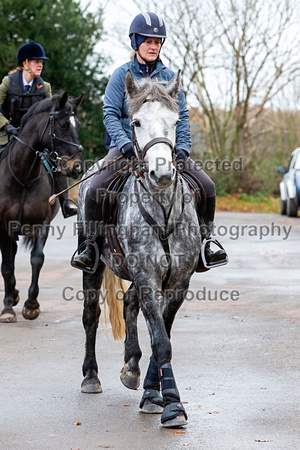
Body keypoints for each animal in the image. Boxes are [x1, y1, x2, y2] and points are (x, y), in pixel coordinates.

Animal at [0, 92, 83, 324]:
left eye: (78, 124)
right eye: (64, 125)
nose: (77, 167)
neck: (23, 178)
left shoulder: (42, 224)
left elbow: (37, 259)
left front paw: (31, 305)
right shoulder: (4, 226)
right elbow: (7, 265)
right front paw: (8, 308)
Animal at [76, 71, 200, 428]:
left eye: (175, 121)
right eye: (136, 122)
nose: (162, 173)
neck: (163, 210)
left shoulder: (177, 283)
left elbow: (163, 335)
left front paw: (153, 394)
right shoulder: (147, 277)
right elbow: (161, 340)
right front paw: (172, 405)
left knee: (129, 305)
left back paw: (131, 366)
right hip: (93, 265)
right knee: (91, 315)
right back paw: (91, 377)